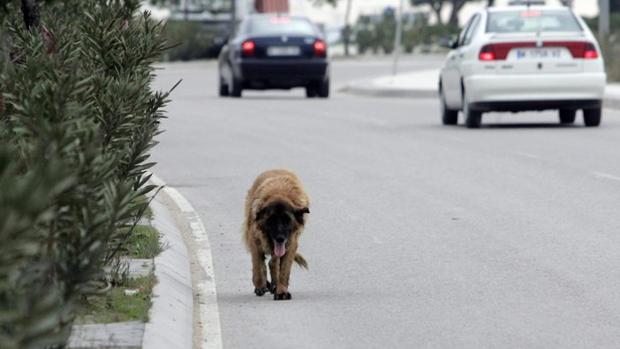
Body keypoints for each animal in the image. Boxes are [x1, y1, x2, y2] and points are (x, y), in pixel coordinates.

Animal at [242, 169, 310, 300]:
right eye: (271, 220)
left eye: (287, 220)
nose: (280, 238)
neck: (279, 193)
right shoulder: (255, 240)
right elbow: (258, 267)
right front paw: (260, 286)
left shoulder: (290, 244)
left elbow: (284, 271)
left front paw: (281, 291)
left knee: (273, 263)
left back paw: (274, 285)